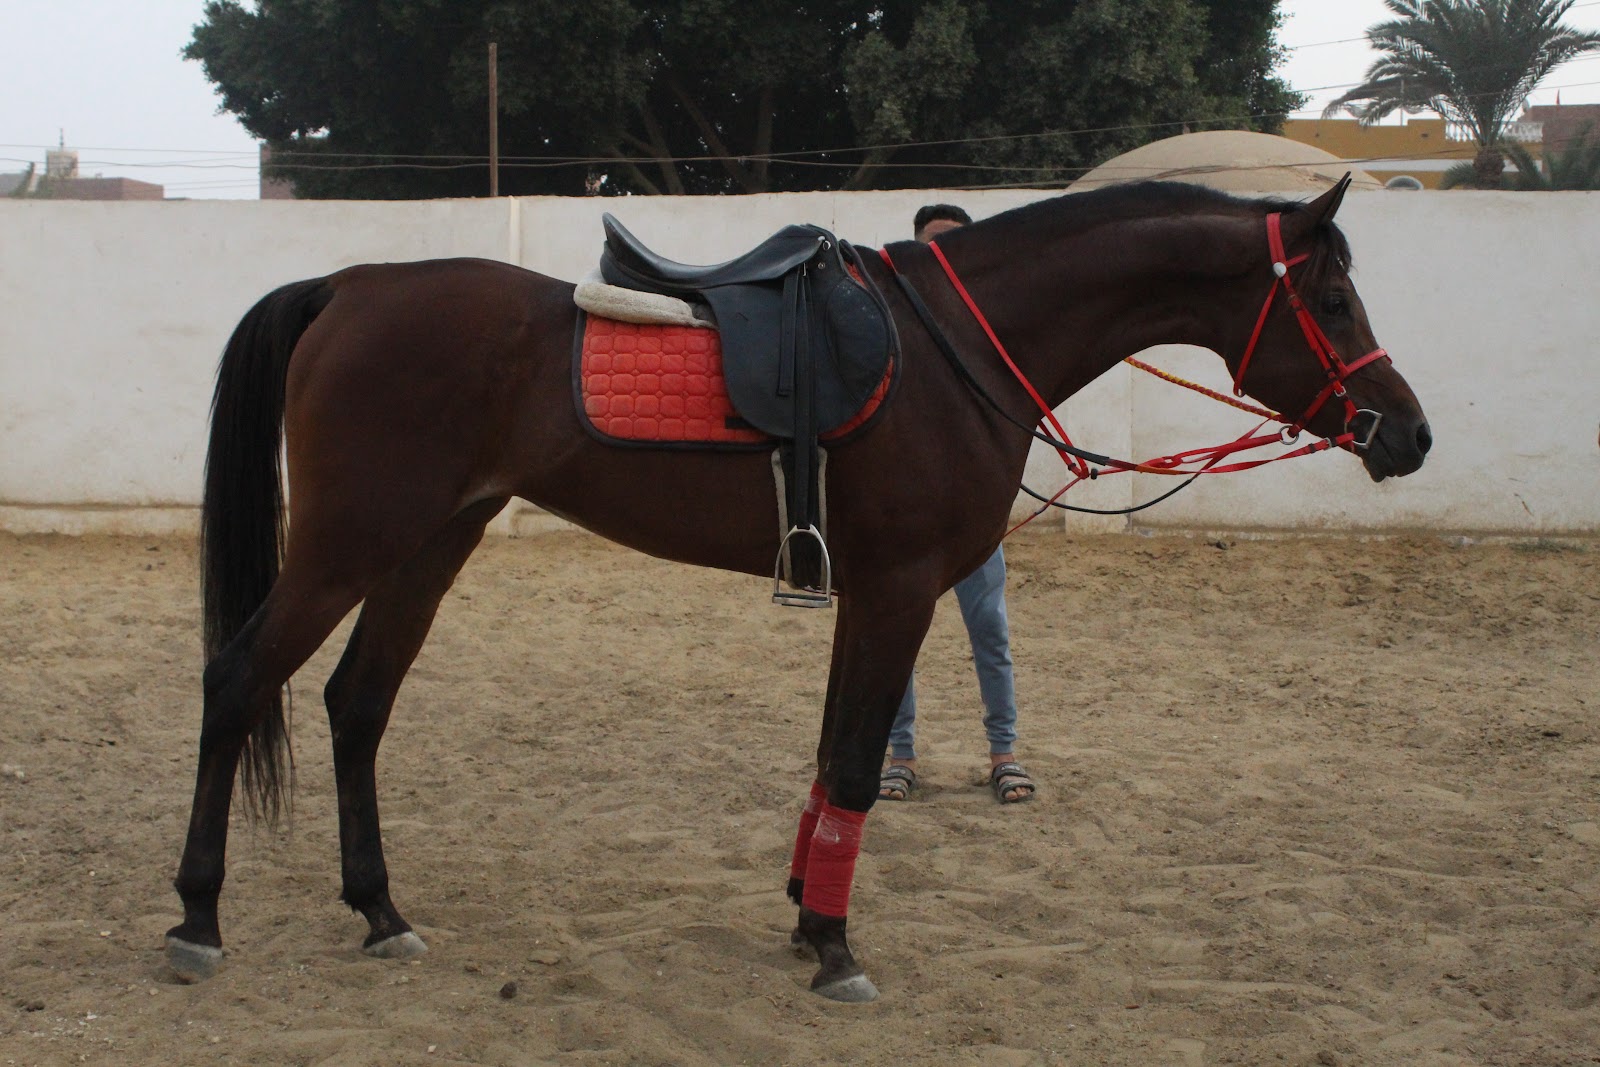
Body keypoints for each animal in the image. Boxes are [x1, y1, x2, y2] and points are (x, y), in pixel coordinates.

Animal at [165, 177, 1431, 1001]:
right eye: (1330, 301)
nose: (1407, 432)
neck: (952, 350)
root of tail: (349, 284)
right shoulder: (904, 587)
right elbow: (861, 765)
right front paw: (833, 942)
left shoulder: (867, 591)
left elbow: (831, 758)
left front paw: (800, 909)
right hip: (349, 543)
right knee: (236, 679)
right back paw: (197, 916)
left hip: (430, 541)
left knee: (356, 702)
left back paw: (381, 912)